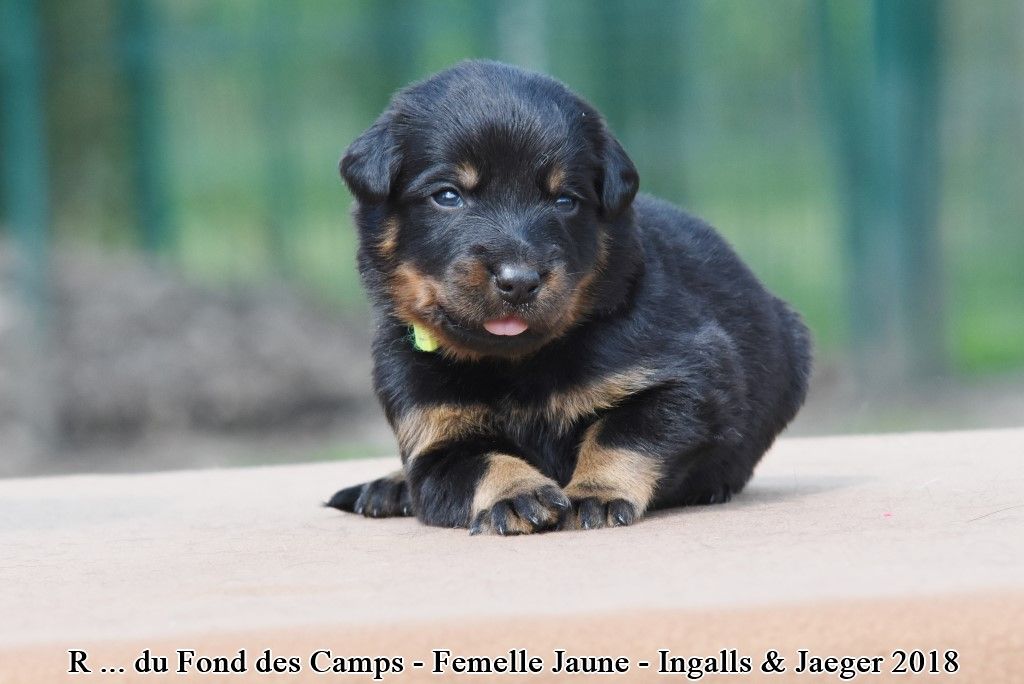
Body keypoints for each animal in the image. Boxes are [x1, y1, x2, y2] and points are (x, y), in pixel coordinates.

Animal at [327, 60, 811, 535]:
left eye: (564, 200)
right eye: (447, 196)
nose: (519, 281)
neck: (515, 362)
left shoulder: (692, 377)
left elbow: (622, 433)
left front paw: (596, 492)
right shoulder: (433, 432)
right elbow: (480, 462)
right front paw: (516, 492)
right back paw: (390, 485)